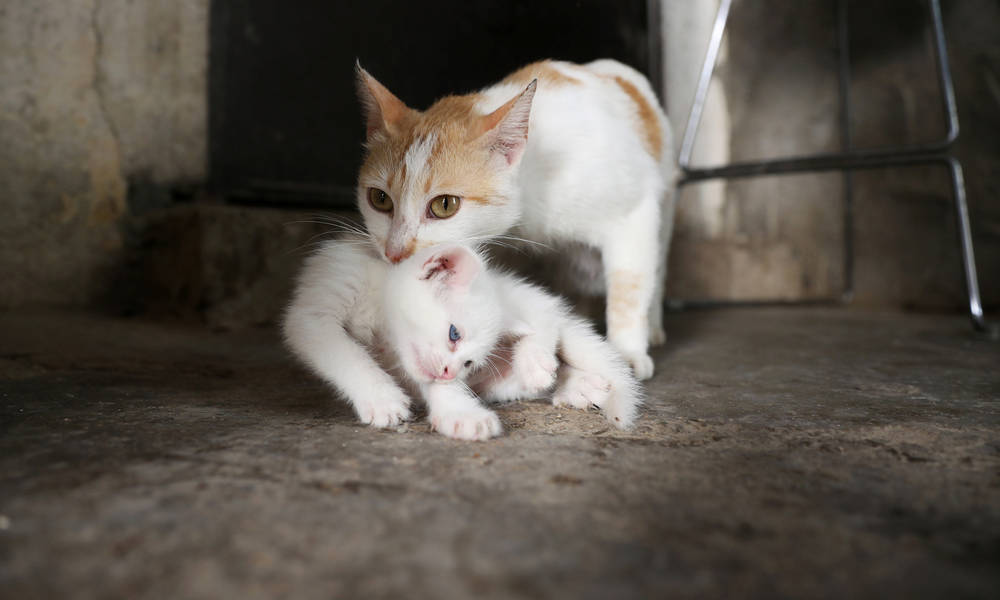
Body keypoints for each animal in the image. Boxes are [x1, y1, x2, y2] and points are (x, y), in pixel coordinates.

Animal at [282, 238, 640, 440]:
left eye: (469, 362)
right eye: (454, 334)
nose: (449, 371)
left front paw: (460, 413)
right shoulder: (321, 303)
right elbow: (346, 352)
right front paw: (382, 398)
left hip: (529, 304)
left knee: (547, 321)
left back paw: (542, 365)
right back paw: (575, 384)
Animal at [356, 59, 676, 380]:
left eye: (444, 205)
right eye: (380, 199)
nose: (394, 253)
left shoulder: (634, 208)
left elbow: (629, 289)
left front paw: (627, 352)